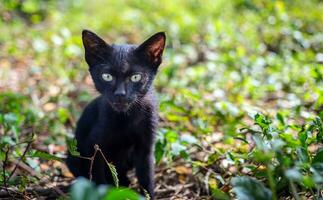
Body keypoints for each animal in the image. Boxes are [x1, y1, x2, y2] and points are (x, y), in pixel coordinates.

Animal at [66, 29, 167, 198]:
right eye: (107, 76)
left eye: (135, 77)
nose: (120, 94)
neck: (126, 118)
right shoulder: (94, 148)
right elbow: (98, 179)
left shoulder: (145, 148)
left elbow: (147, 180)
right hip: (73, 156)